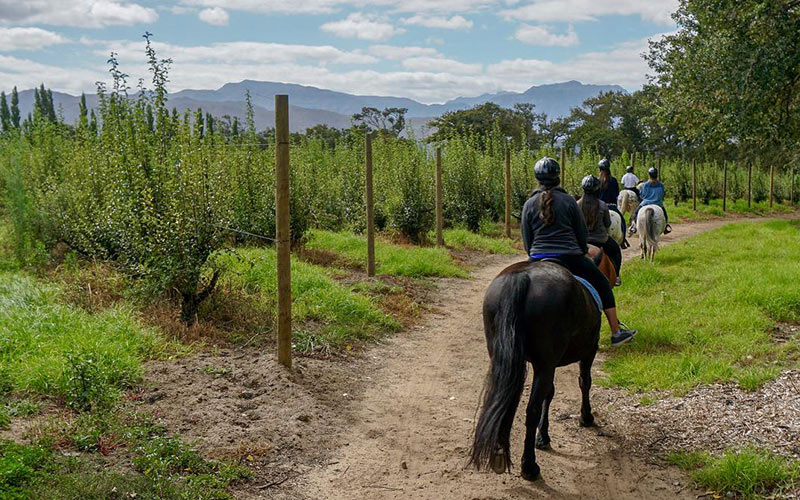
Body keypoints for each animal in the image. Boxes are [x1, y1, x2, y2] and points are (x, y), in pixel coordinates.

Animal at [468, 260, 600, 478]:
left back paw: (499, 454)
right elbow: (584, 382)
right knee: (532, 410)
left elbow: (551, 393)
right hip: (545, 364)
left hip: (504, 357)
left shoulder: (550, 364)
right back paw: (529, 466)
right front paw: (586, 417)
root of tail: (521, 276)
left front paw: (543, 436)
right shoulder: (587, 352)